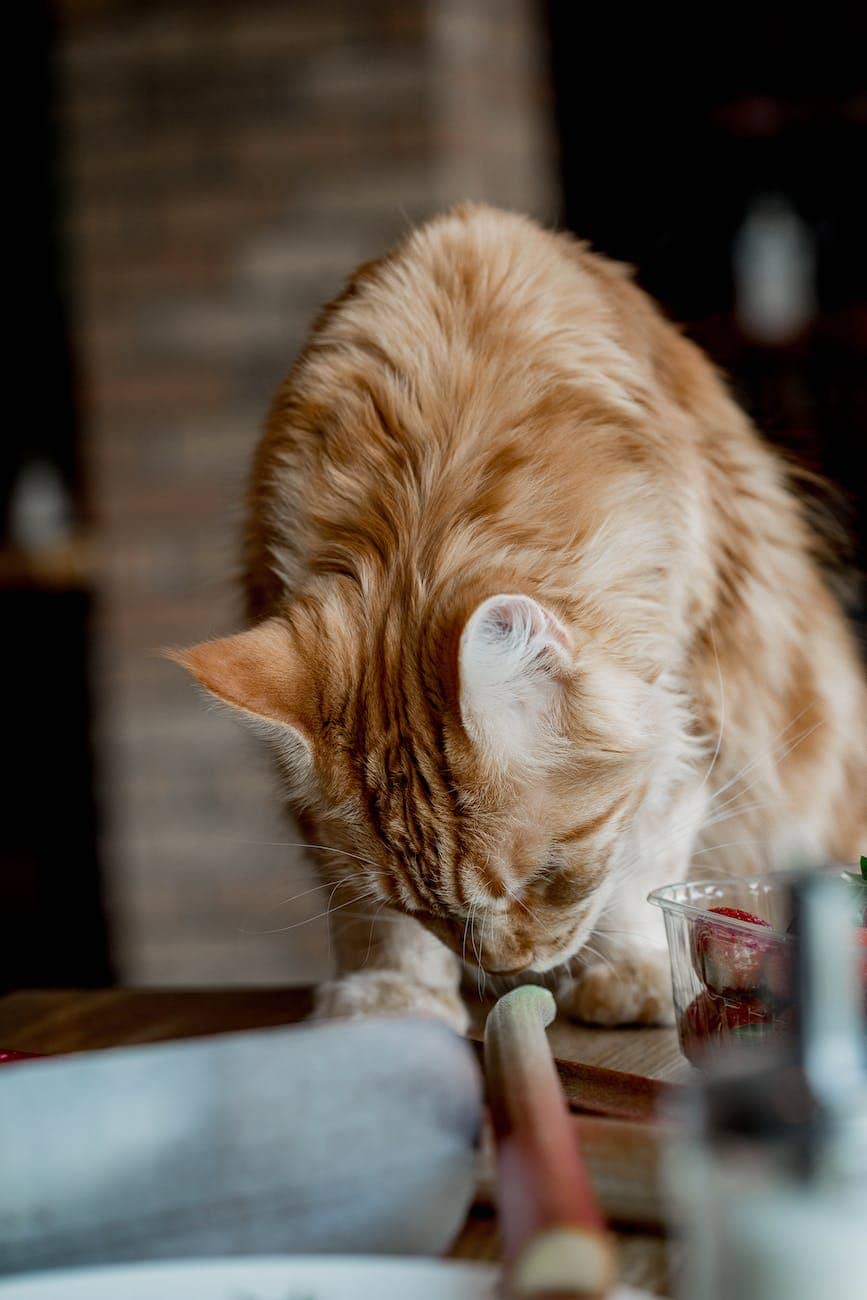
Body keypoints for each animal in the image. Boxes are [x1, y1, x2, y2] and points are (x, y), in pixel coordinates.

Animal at [171, 208, 867, 1029]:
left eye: (550, 876)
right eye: (421, 908)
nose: (512, 968)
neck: (427, 487)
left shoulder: (687, 695)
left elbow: (640, 856)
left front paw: (629, 972)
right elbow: (365, 919)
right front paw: (392, 998)